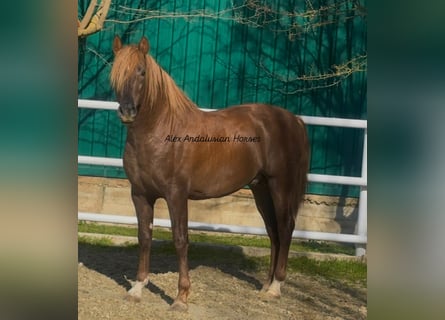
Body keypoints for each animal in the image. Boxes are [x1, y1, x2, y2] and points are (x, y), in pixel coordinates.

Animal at [110, 36, 308, 312]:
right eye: (116, 73)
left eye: (141, 72)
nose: (127, 111)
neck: (160, 132)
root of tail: (293, 120)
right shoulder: (140, 194)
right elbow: (144, 237)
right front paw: (137, 288)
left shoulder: (176, 195)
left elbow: (180, 239)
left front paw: (181, 298)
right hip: (261, 188)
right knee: (273, 232)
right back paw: (266, 286)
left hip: (281, 185)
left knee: (286, 227)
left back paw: (275, 288)